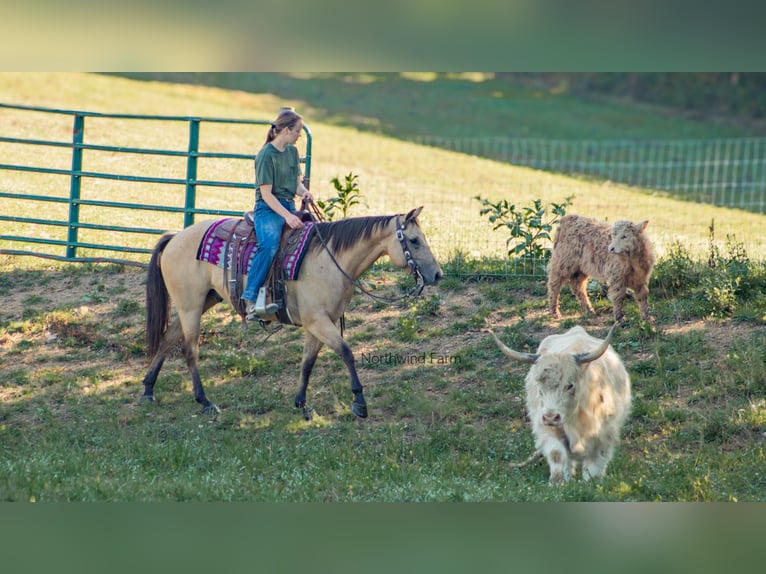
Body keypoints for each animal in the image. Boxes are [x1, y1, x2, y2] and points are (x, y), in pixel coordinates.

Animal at [141, 207, 444, 418]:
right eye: (414, 240)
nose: (438, 275)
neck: (330, 260)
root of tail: (174, 237)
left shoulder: (318, 323)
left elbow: (307, 363)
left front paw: (302, 404)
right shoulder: (318, 321)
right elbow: (346, 352)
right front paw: (359, 403)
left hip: (202, 301)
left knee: (168, 338)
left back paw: (148, 390)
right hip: (191, 306)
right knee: (189, 349)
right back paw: (204, 402)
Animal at [488, 324, 632, 486]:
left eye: (569, 385)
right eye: (539, 388)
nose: (551, 417)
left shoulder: (605, 433)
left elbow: (595, 464)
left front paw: (591, 483)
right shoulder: (547, 429)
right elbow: (557, 454)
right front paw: (558, 483)